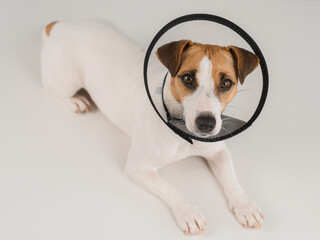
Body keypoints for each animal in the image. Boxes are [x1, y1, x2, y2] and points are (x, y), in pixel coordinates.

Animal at [41, 19, 264, 235]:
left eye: (226, 83)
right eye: (187, 78)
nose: (206, 123)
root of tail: (60, 25)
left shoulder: (218, 153)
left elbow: (231, 179)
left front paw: (245, 206)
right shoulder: (138, 168)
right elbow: (170, 187)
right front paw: (188, 212)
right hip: (67, 81)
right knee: (53, 87)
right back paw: (76, 101)